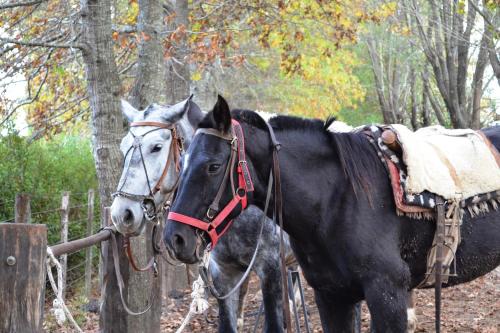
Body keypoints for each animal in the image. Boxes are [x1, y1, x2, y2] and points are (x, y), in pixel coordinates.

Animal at [164, 94, 500, 330]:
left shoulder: (387, 296)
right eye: (182, 160)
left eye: (213, 166)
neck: (339, 199)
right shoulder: (332, 297)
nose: (175, 238)